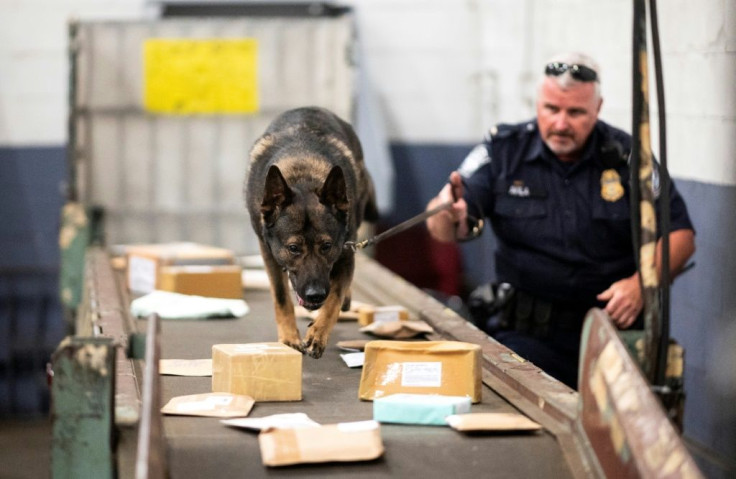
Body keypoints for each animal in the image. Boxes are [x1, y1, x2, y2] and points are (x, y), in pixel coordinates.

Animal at [246, 107, 376, 358]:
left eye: (326, 247)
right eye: (293, 248)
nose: (315, 295)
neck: (302, 175)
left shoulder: (346, 252)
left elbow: (334, 299)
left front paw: (318, 334)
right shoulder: (268, 254)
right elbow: (281, 297)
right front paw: (289, 338)